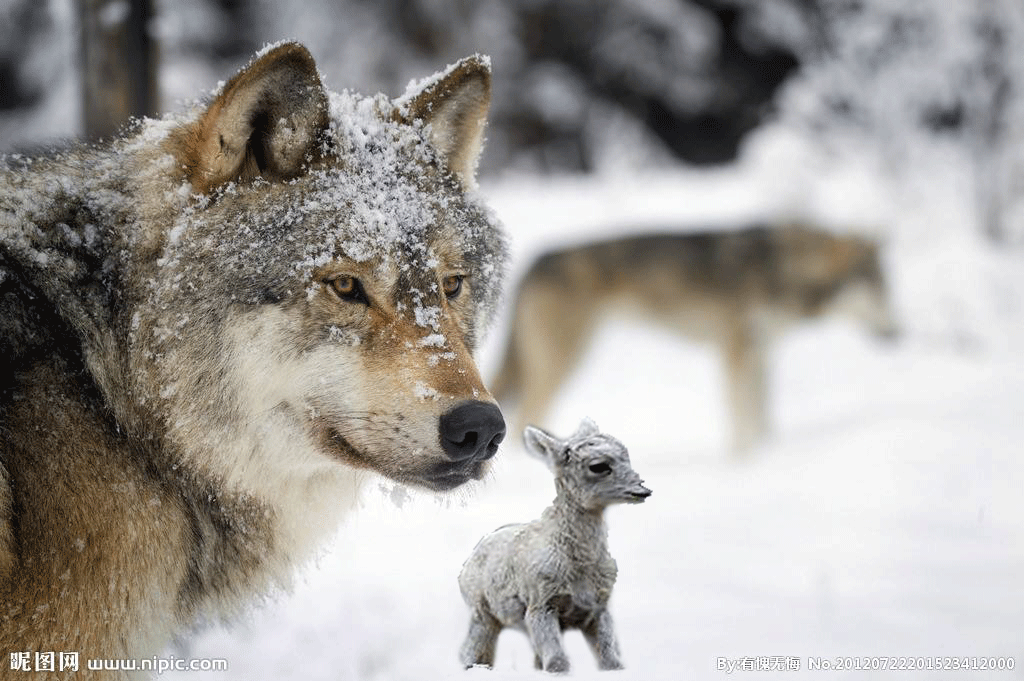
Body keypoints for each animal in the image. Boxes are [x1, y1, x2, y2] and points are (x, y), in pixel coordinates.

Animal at [460, 417, 651, 671]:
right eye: (598, 466)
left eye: (626, 456)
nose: (643, 490)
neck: (580, 568)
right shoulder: (540, 605)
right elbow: (558, 663)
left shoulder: (598, 608)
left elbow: (611, 661)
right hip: (482, 613)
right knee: (471, 651)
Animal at [489, 225, 897, 454]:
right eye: (875, 290)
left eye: (887, 289)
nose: (899, 332)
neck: (782, 267)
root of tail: (534, 264)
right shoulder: (736, 350)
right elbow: (740, 417)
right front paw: (743, 462)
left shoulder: (760, 352)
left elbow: (762, 416)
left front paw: (769, 454)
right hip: (564, 361)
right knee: (524, 418)